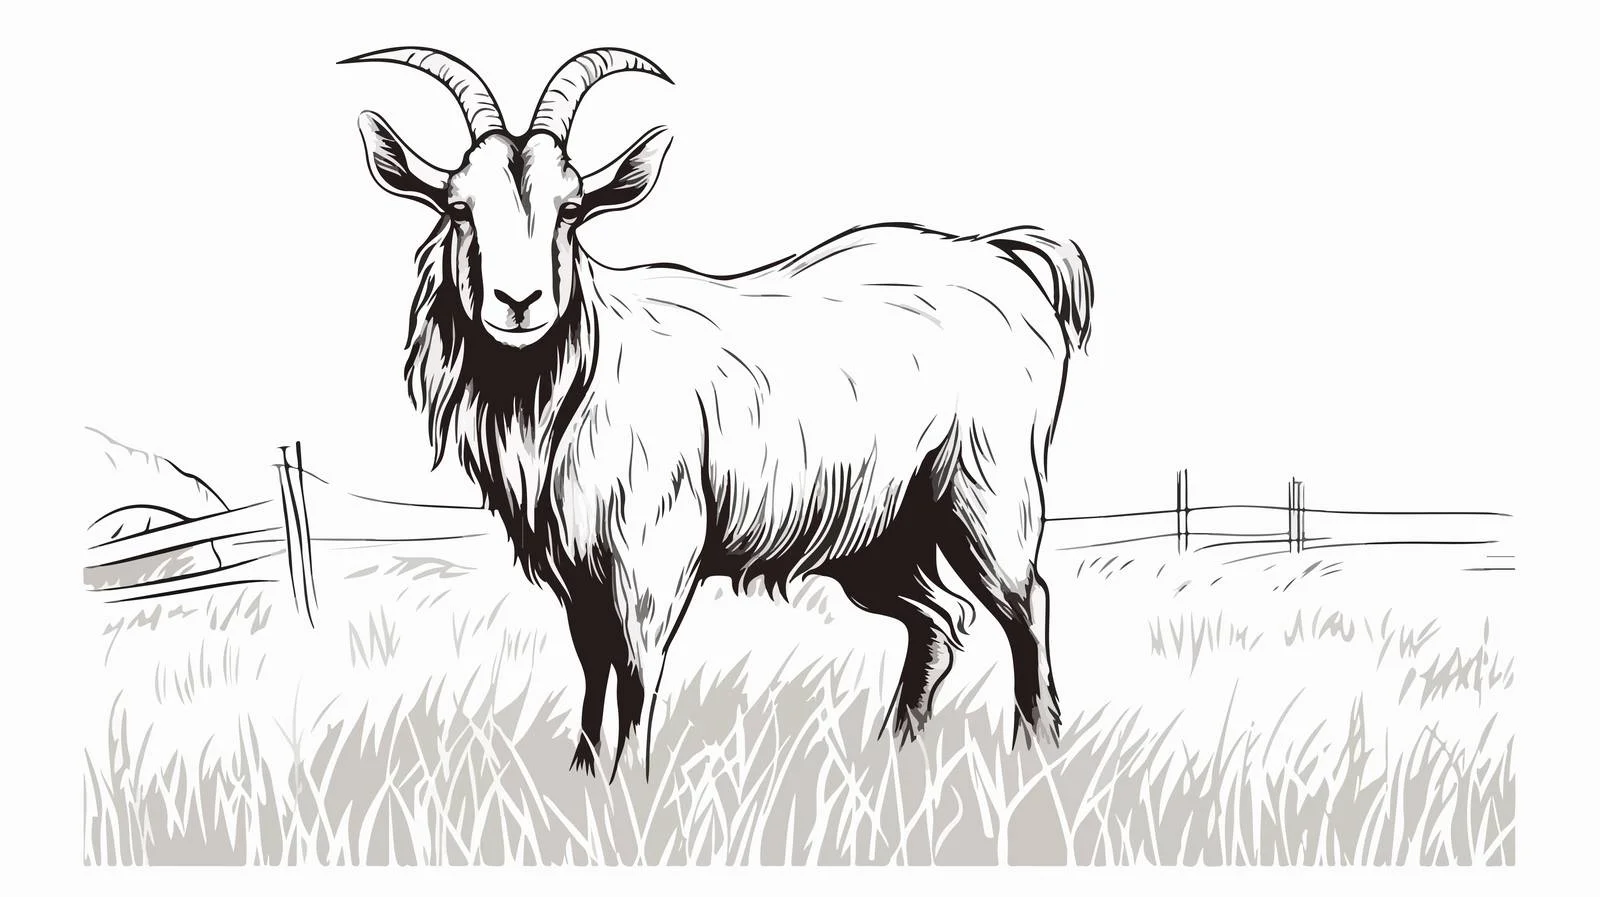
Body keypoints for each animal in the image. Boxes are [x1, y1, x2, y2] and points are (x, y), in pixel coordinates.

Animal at [343, 47, 1094, 778]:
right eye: (457, 206)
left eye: (573, 207)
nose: (519, 302)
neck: (578, 381)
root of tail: (1003, 257)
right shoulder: (575, 568)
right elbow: (591, 666)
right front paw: (583, 778)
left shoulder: (653, 550)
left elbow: (637, 667)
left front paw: (632, 786)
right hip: (880, 535)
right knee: (941, 621)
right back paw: (896, 754)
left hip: (987, 491)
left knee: (1026, 606)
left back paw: (1035, 752)